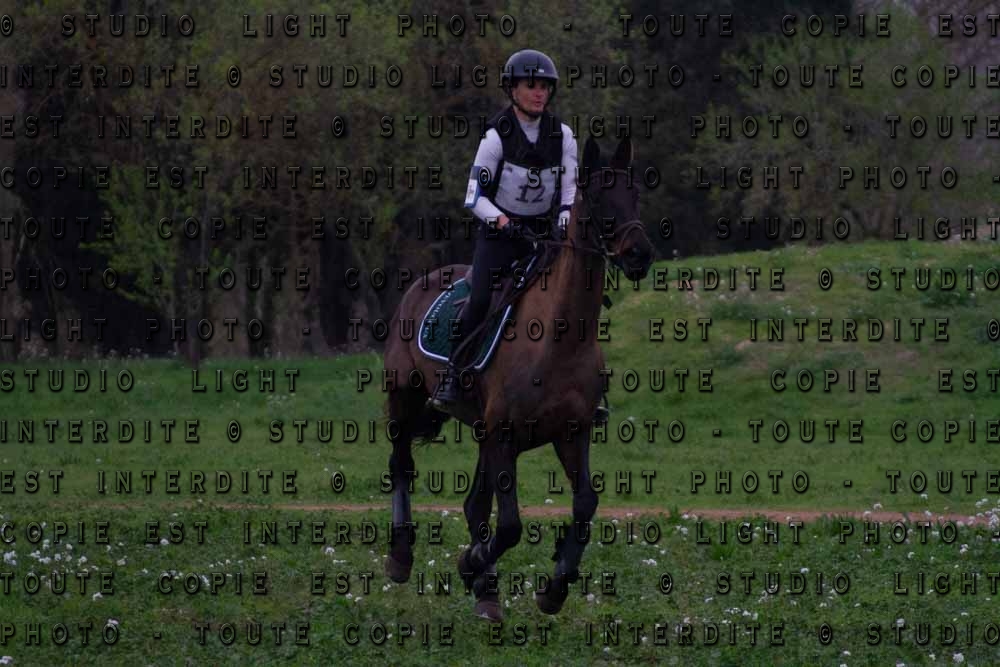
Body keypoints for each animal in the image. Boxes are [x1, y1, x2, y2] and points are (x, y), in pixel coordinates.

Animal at [381, 135, 656, 621]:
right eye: (599, 199)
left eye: (635, 193)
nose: (639, 254)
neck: (560, 340)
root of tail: (421, 284)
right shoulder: (504, 435)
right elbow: (508, 526)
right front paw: (470, 562)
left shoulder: (570, 433)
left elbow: (584, 505)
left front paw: (553, 589)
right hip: (404, 397)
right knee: (402, 465)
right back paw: (402, 557)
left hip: (480, 430)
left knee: (473, 503)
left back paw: (487, 594)